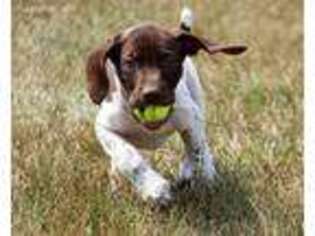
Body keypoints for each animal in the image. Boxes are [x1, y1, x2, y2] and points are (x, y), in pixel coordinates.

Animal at [86, 7, 247, 206]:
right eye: (130, 62)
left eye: (167, 58)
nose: (151, 93)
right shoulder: (105, 128)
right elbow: (128, 158)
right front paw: (154, 188)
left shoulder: (191, 120)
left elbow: (196, 150)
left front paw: (193, 174)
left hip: (197, 99)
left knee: (202, 146)